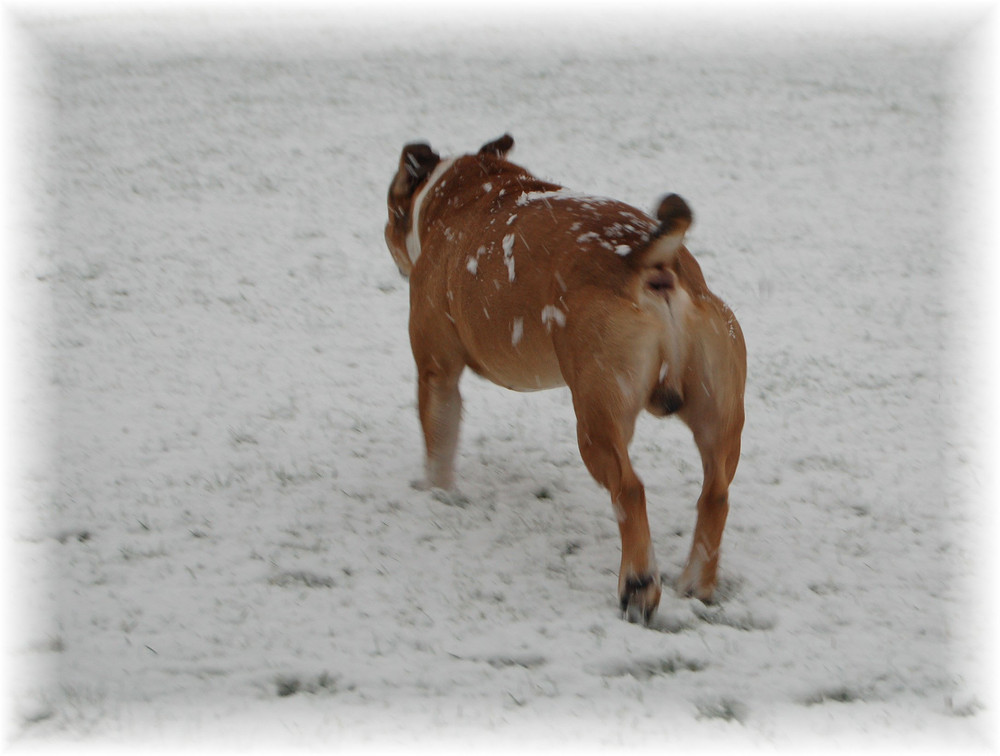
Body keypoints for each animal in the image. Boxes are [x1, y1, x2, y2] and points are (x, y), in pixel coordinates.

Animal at [386, 136, 748, 620]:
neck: (466, 188)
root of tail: (652, 261)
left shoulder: (436, 374)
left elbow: (438, 446)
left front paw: (434, 494)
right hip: (719, 415)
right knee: (715, 494)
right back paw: (696, 584)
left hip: (597, 418)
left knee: (629, 490)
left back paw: (638, 587)